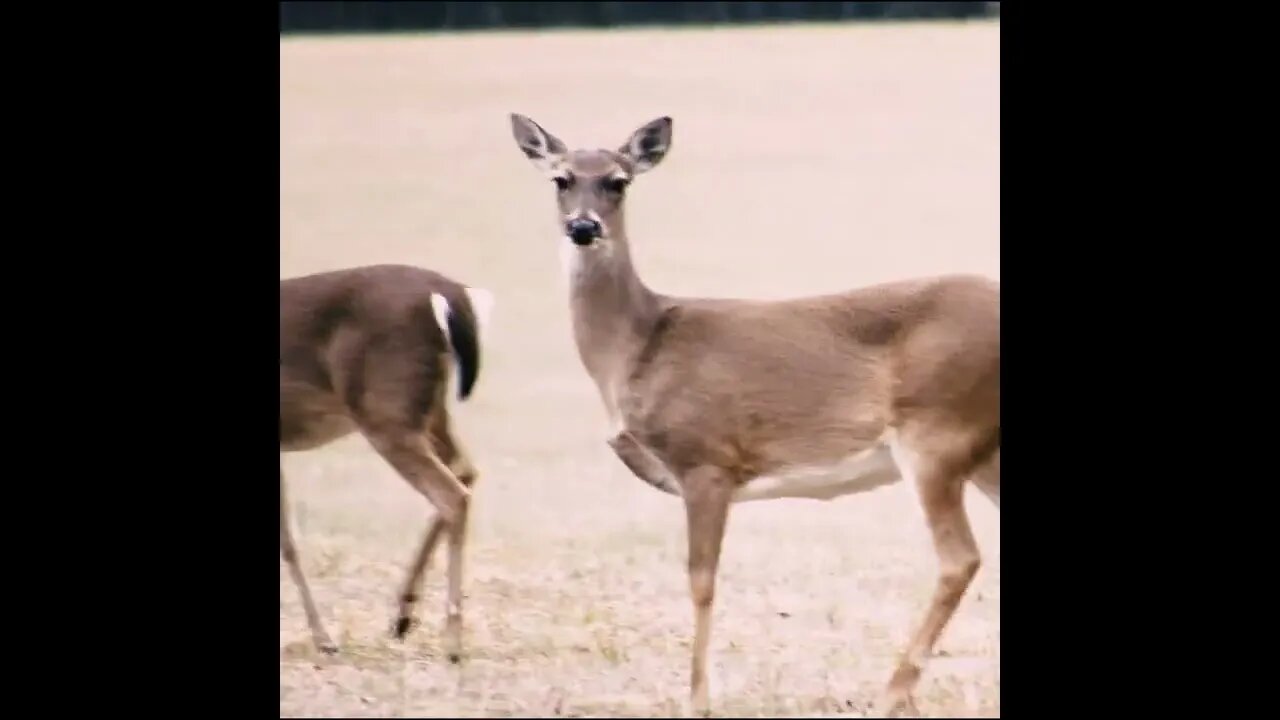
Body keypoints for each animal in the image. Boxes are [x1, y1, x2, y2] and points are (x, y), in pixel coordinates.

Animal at [280, 260, 494, 661]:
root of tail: (448, 293)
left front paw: (324, 639)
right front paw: (323, 638)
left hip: (386, 409)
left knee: (451, 493)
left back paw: (452, 641)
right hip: (428, 409)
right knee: (465, 472)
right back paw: (403, 617)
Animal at [509, 112, 998, 712]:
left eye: (617, 181)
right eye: (561, 178)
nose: (583, 227)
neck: (636, 347)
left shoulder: (707, 459)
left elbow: (702, 580)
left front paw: (698, 699)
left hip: (936, 432)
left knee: (959, 559)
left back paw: (892, 691)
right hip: (977, 451)